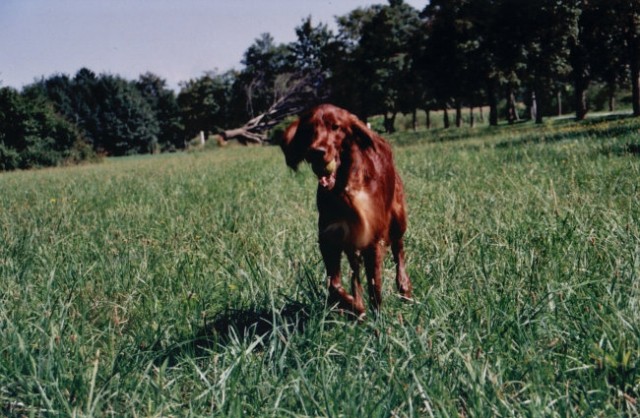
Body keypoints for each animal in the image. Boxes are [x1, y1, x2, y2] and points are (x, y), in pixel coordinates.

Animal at [282, 104, 412, 316]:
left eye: (335, 127)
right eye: (309, 129)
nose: (316, 152)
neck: (343, 189)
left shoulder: (373, 240)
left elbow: (374, 286)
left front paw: (378, 319)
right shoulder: (330, 238)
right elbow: (334, 285)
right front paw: (355, 307)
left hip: (397, 221)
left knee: (398, 250)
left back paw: (404, 288)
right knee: (355, 271)